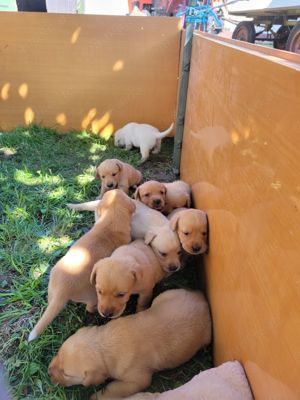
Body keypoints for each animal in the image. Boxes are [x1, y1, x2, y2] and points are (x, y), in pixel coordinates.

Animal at [48, 290, 211, 398]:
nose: (49, 372)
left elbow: (113, 388)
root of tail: (202, 298)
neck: (103, 345)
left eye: (66, 373)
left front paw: (97, 396)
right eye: (58, 353)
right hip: (166, 295)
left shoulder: (137, 380)